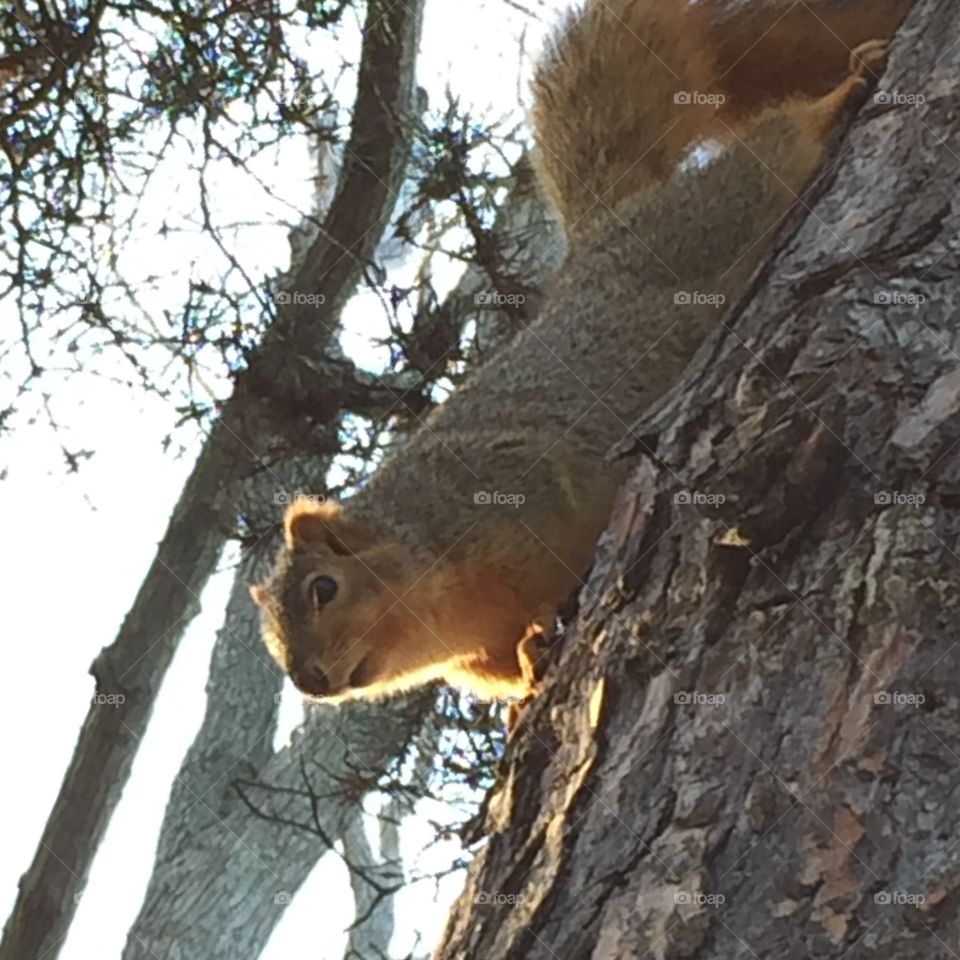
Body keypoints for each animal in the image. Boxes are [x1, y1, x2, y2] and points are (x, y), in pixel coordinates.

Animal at [251, 0, 911, 711]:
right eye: (273, 641)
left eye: (324, 588)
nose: (310, 681)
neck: (441, 610)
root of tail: (602, 227)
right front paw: (524, 681)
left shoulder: (513, 487)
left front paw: (539, 633)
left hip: (711, 216)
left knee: (775, 147)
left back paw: (843, 91)